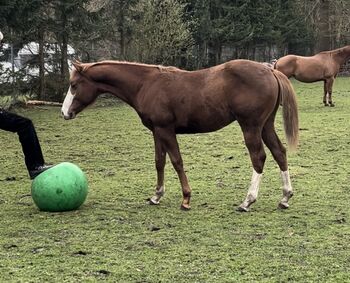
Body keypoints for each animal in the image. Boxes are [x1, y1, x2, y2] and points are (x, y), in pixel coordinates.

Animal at [60, 60, 298, 212]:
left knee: (258, 158)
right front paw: (156, 196)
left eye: (73, 85)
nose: (64, 113)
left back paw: (247, 201)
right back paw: (285, 197)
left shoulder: (166, 130)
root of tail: (271, 71)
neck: (146, 84)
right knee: (279, 152)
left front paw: (186, 199)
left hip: (251, 126)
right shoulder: (157, 131)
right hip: (266, 126)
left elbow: (176, 161)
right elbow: (159, 162)